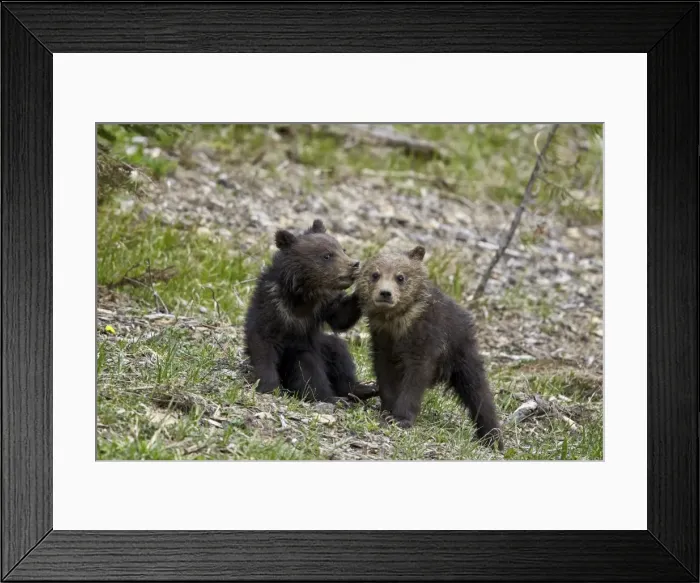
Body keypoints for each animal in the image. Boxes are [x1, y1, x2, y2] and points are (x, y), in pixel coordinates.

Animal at [243, 218, 376, 404]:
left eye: (343, 249)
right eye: (327, 255)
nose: (354, 264)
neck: (304, 296)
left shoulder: (323, 306)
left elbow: (341, 317)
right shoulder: (274, 308)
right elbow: (263, 344)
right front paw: (269, 386)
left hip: (322, 345)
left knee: (339, 353)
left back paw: (363, 389)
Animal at [354, 245, 504, 451]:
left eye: (400, 277)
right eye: (375, 274)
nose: (385, 293)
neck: (398, 324)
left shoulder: (426, 340)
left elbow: (416, 379)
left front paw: (401, 418)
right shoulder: (383, 343)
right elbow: (385, 375)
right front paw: (387, 409)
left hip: (461, 352)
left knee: (477, 390)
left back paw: (492, 437)